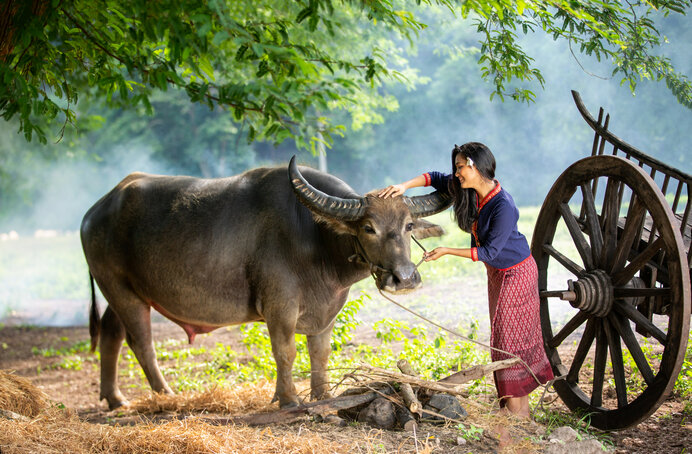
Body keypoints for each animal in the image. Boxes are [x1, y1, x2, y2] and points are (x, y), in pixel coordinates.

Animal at [81, 156, 452, 408]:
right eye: (368, 228)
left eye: (407, 225)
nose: (404, 278)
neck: (315, 234)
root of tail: (95, 211)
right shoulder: (279, 306)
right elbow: (285, 351)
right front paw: (288, 399)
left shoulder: (326, 310)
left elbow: (320, 353)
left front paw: (322, 395)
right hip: (119, 289)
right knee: (141, 342)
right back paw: (166, 395)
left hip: (123, 291)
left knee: (112, 332)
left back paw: (115, 398)